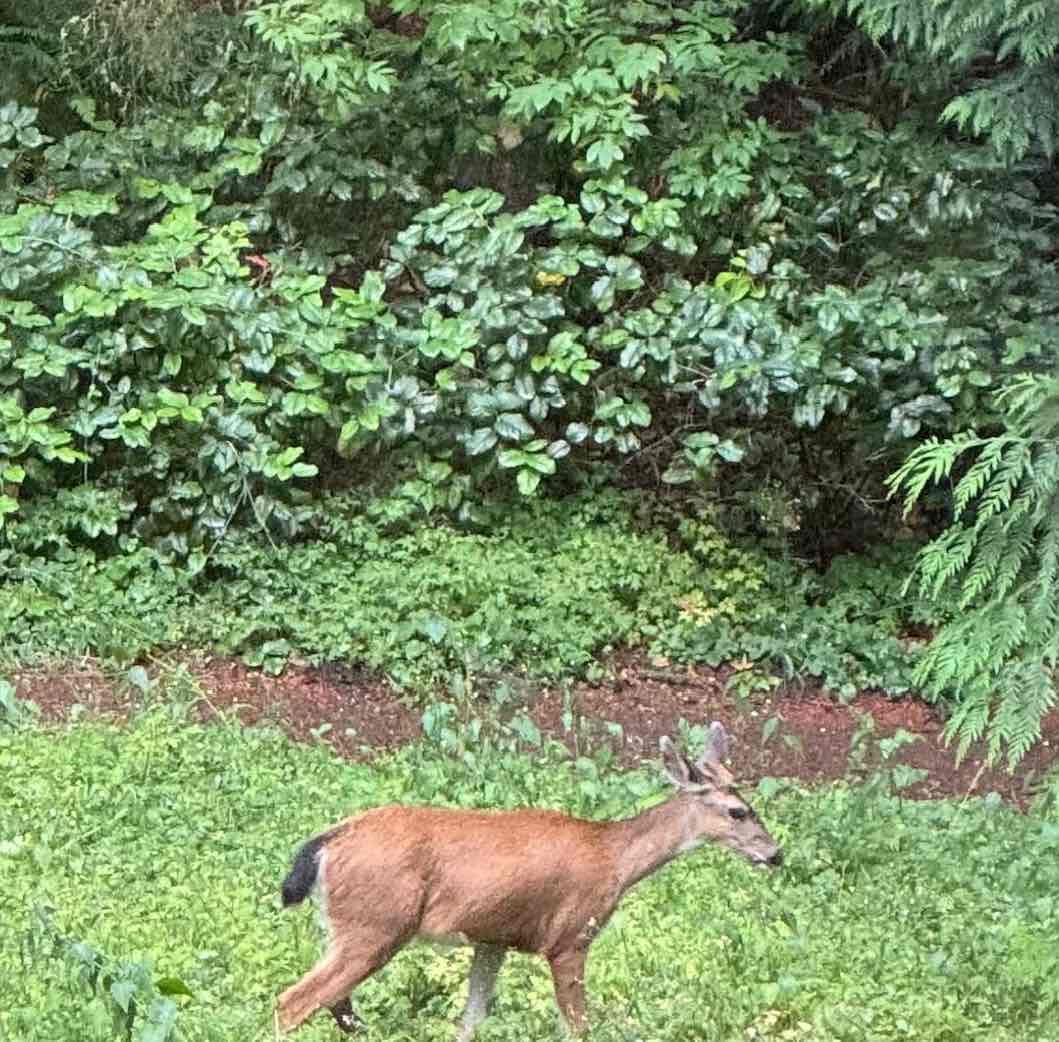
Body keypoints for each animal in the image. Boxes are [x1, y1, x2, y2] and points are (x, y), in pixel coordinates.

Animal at [275, 721, 782, 1039]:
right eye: (738, 811)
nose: (775, 854)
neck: (614, 857)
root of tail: (329, 840)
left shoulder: (492, 938)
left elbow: (471, 1021)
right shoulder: (570, 938)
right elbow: (579, 1027)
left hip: (352, 929)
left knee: (336, 1005)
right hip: (376, 924)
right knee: (292, 1003)